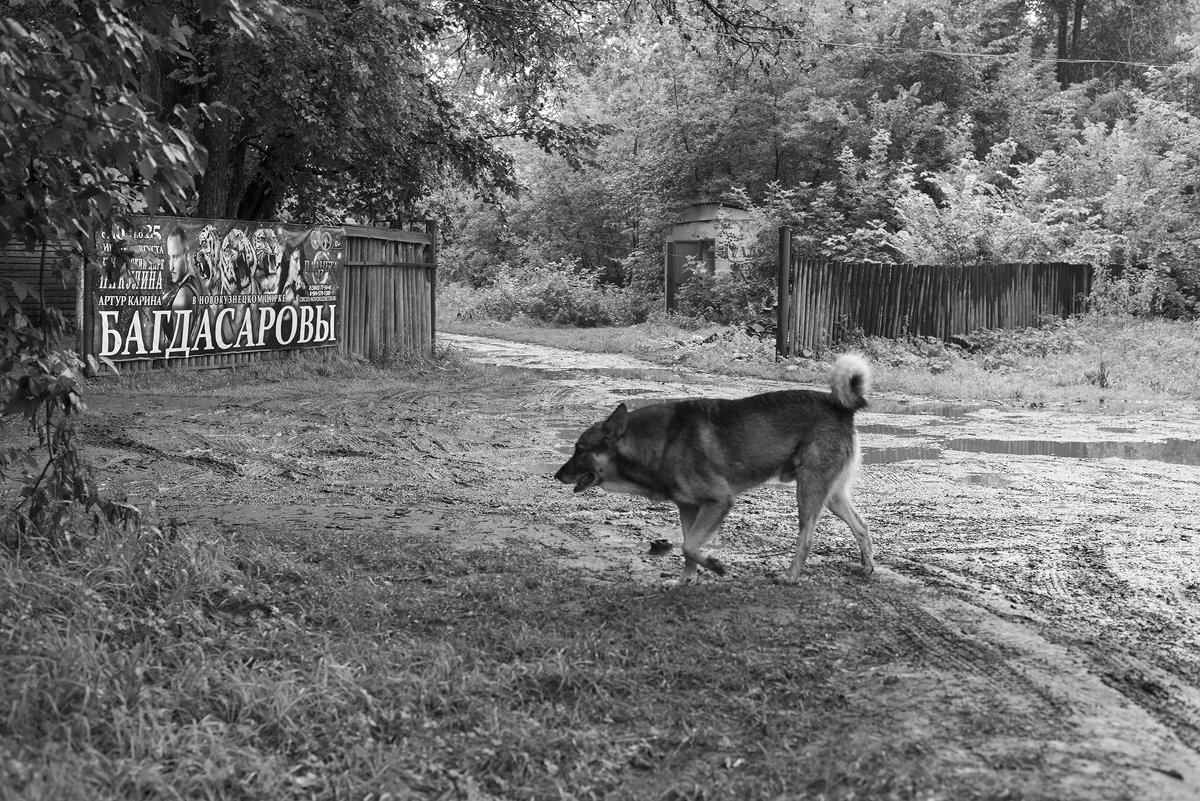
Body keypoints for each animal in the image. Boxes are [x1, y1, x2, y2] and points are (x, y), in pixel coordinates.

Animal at [552, 352, 873, 585]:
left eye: (580, 449)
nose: (556, 475)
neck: (660, 441)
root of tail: (840, 406)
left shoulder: (719, 501)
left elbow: (689, 547)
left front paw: (716, 567)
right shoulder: (689, 508)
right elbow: (687, 547)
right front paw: (685, 581)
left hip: (809, 491)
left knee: (806, 538)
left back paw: (792, 577)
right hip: (831, 496)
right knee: (862, 526)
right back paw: (867, 566)